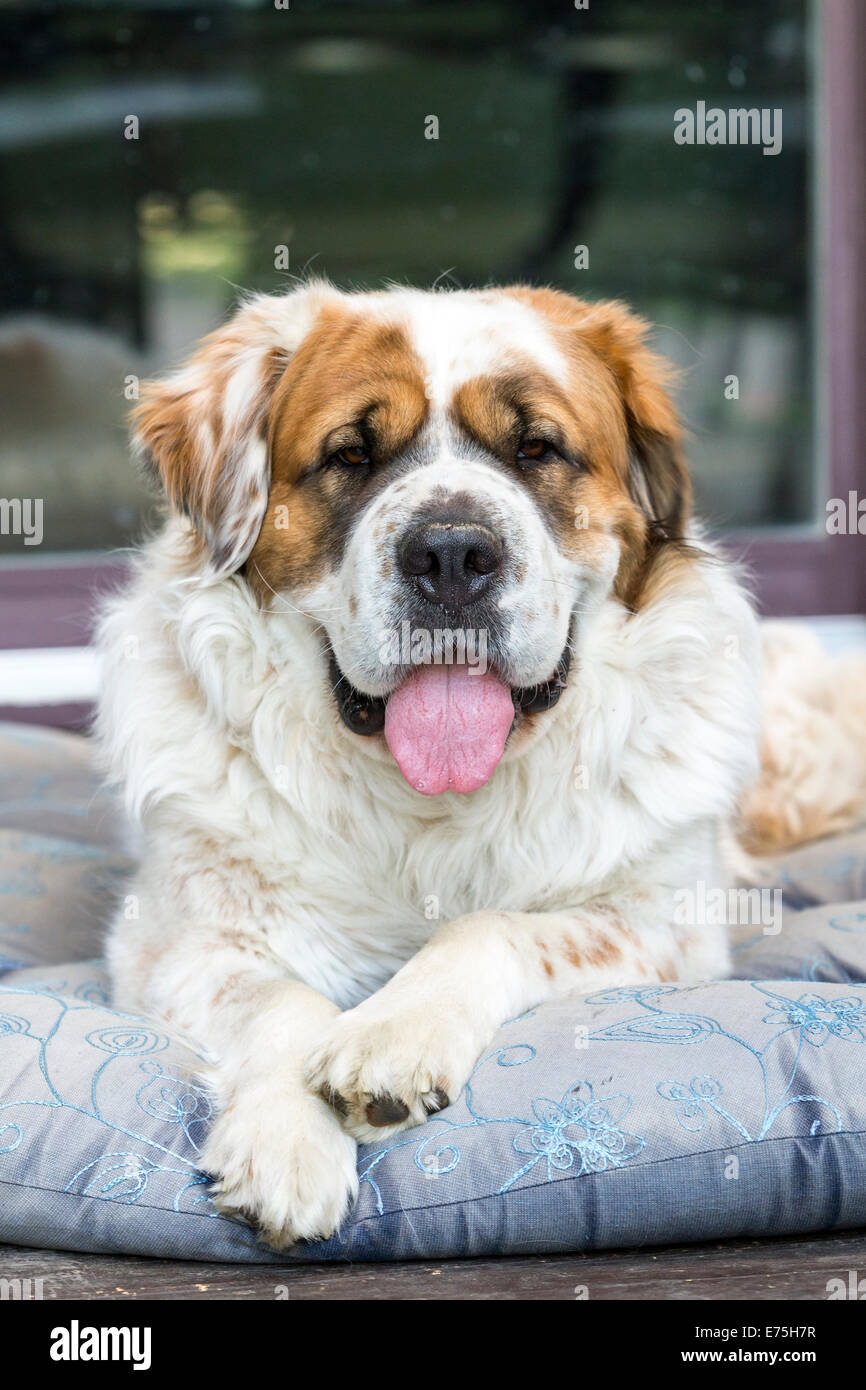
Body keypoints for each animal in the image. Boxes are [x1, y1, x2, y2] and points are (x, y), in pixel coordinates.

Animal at [96, 282, 866, 1251]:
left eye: (536, 448)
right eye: (351, 454)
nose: (452, 554)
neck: (428, 809)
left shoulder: (663, 925)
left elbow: (493, 928)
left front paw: (393, 1034)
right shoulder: (179, 945)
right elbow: (281, 1002)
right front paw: (285, 1143)